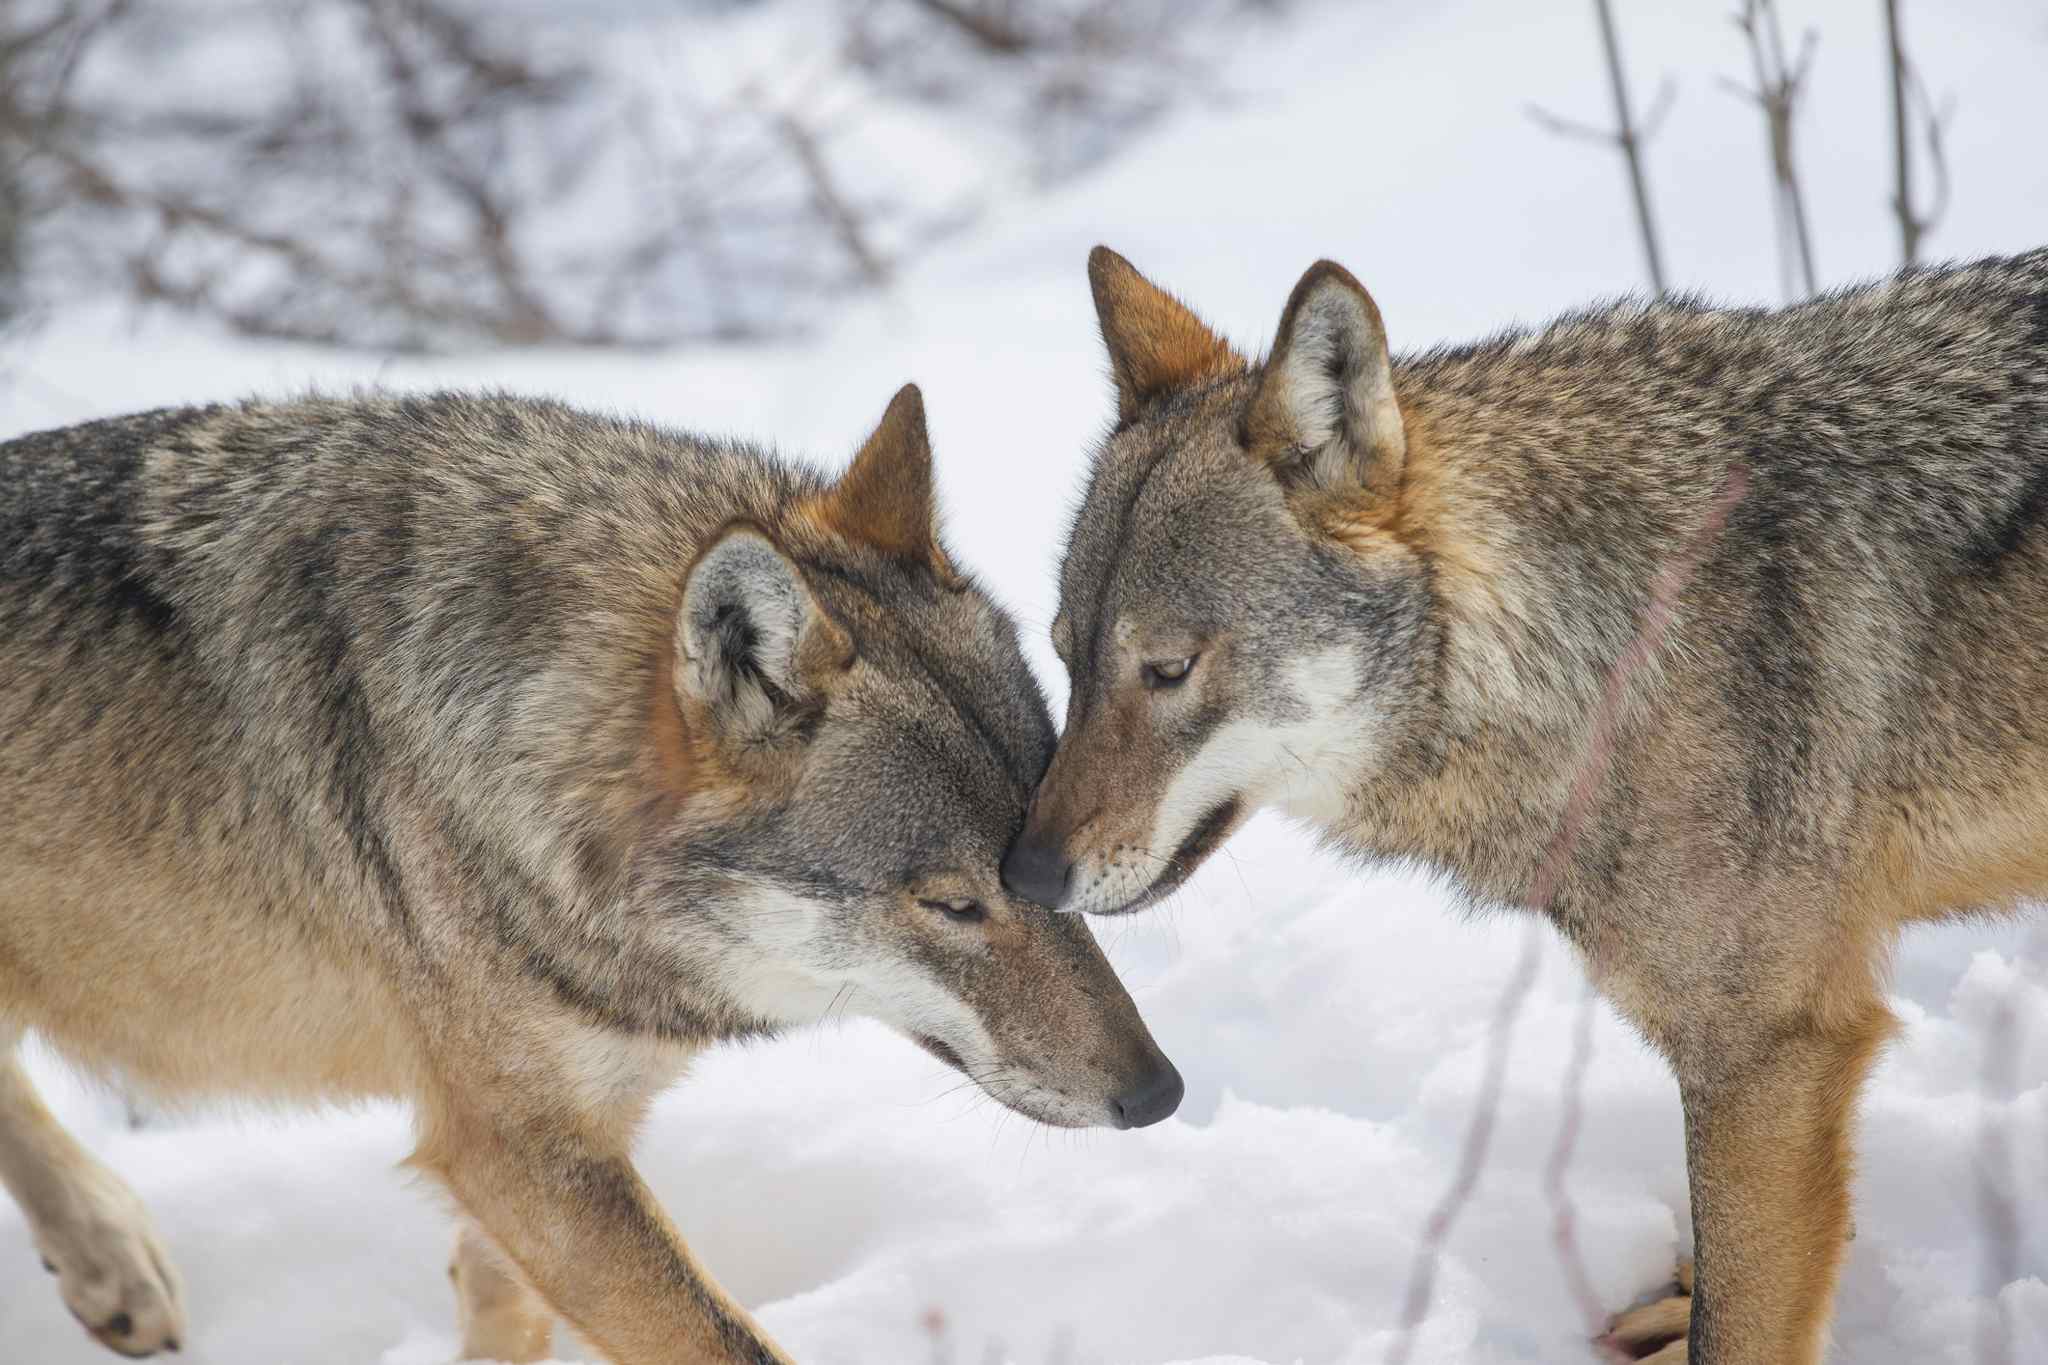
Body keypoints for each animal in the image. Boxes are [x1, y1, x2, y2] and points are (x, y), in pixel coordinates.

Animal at [0, 378, 1187, 1358]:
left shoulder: (563, 1148)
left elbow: (508, 1312)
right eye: (952, 903)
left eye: (1043, 862)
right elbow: (723, 1344)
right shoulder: (519, 1153)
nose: (1161, 1095)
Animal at [1003, 248, 2048, 1365]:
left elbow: (1740, 1321)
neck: (1610, 640)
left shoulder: (1770, 1051)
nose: (1022, 874)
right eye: (1067, 660)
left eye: (1167, 669)